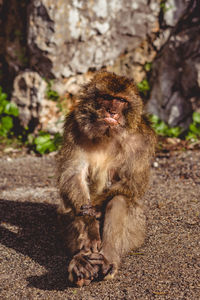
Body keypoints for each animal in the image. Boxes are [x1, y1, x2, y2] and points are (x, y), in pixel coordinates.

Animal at [56, 69, 156, 288]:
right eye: (107, 97)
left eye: (121, 100)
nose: (112, 112)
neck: (107, 135)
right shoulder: (73, 128)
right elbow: (72, 176)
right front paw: (90, 225)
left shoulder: (142, 140)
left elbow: (133, 182)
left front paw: (96, 209)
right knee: (74, 208)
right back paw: (82, 263)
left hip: (138, 231)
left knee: (119, 200)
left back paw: (107, 260)